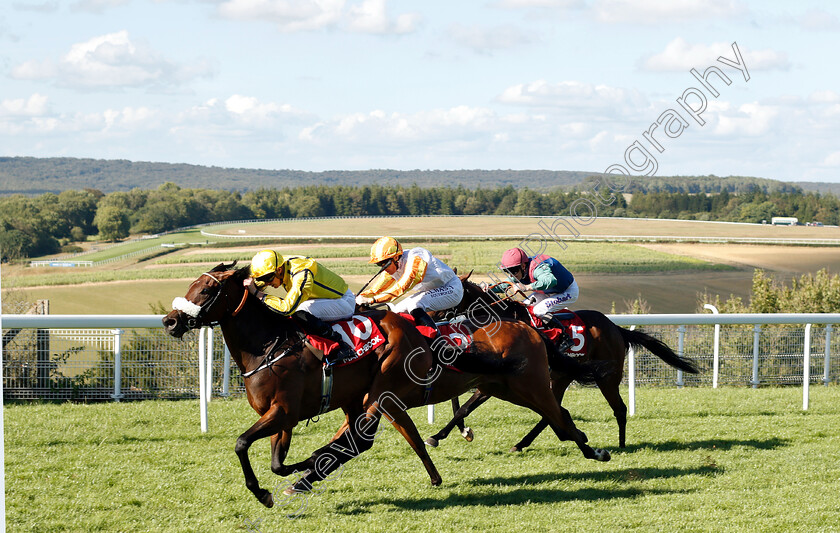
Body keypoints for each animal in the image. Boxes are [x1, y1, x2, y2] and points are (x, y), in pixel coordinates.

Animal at [430, 272, 700, 450]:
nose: (430, 314)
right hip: (561, 377)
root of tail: (616, 329)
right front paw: (455, 432)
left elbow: (465, 406)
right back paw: (531, 441)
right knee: (550, 411)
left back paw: (621, 444)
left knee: (618, 408)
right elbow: (461, 404)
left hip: (606, 377)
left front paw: (437, 436)